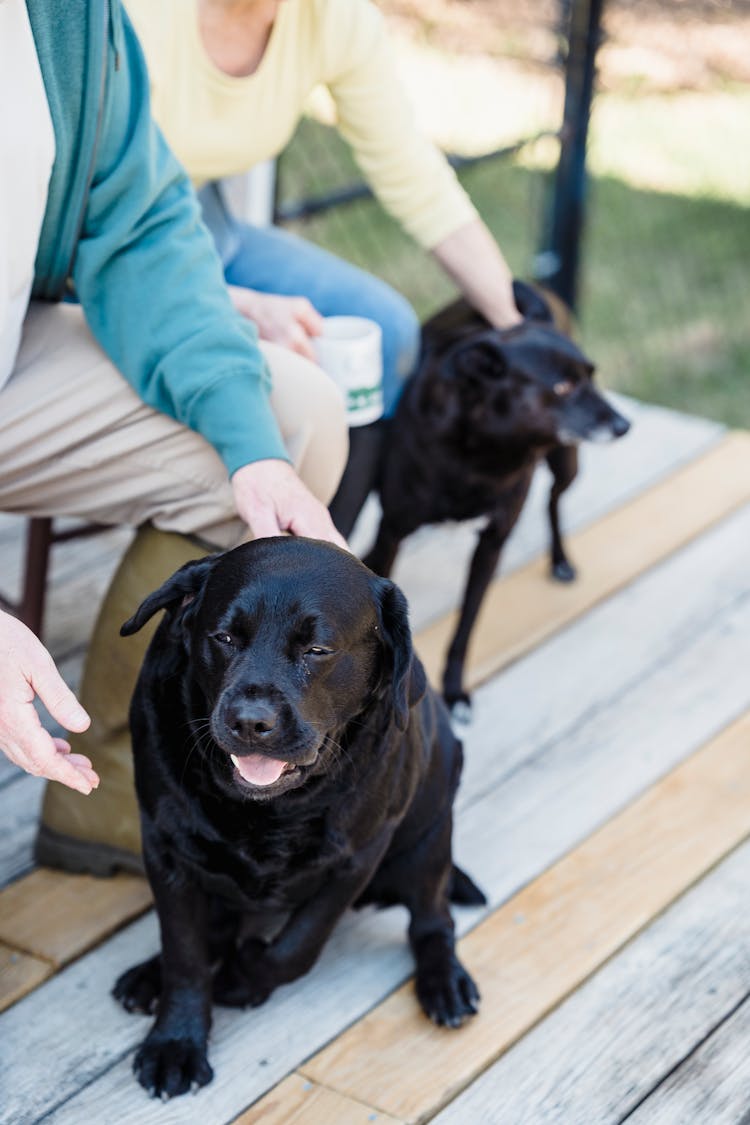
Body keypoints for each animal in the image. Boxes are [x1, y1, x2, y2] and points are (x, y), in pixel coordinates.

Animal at [114, 533, 483, 1098]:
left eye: (317, 650)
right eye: (223, 637)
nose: (250, 721)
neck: (270, 810)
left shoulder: (355, 858)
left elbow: (296, 946)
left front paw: (244, 978)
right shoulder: (166, 847)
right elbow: (185, 952)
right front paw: (175, 1042)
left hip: (429, 834)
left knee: (432, 919)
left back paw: (446, 984)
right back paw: (149, 976)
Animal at [366, 283, 629, 720]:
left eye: (591, 377)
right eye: (563, 388)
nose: (625, 425)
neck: (480, 451)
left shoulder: (492, 543)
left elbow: (466, 627)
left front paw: (455, 692)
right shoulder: (392, 531)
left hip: (567, 462)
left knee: (553, 500)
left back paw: (560, 560)